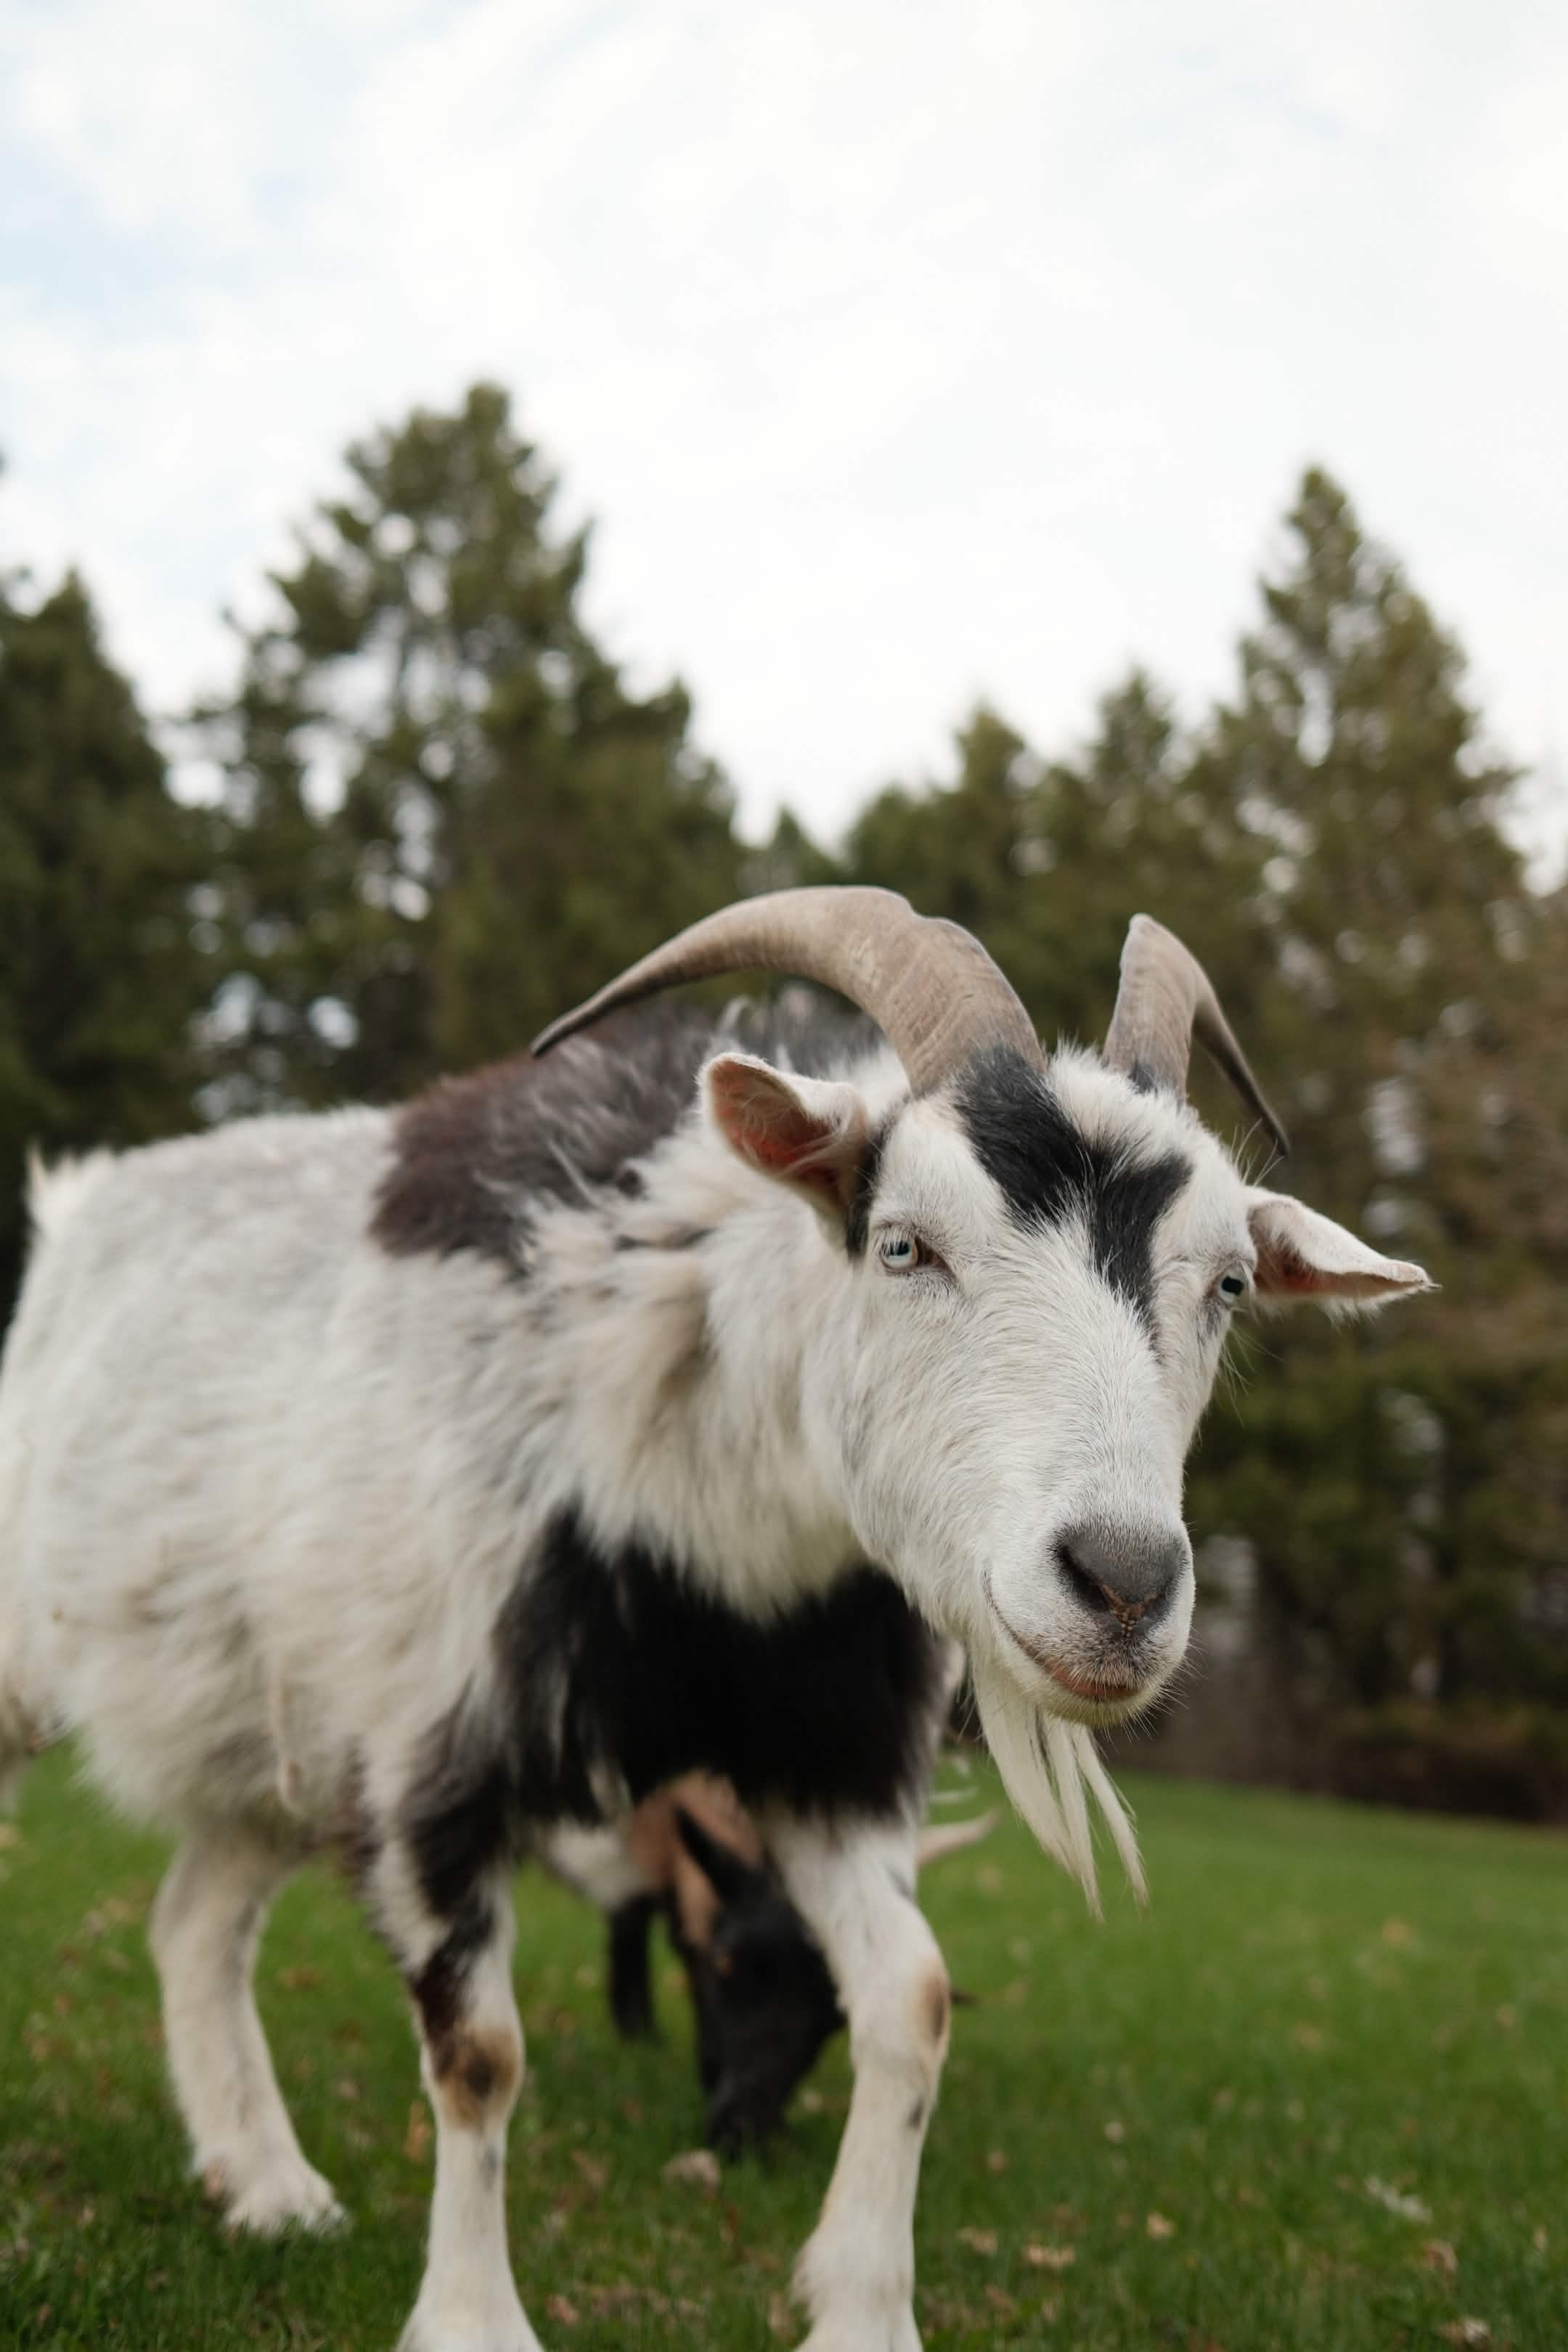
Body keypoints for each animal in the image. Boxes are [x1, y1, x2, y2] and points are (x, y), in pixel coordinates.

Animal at [0, 890, 1430, 2352]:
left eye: (1229, 1287)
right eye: (904, 1242)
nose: (1124, 1584)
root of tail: (81, 1210)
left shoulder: (829, 1756)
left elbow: (911, 1999)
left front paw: (862, 2311)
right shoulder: (427, 1750)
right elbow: (480, 2056)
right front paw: (473, 2318)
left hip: (269, 1731)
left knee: (196, 1916)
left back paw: (270, 2189)